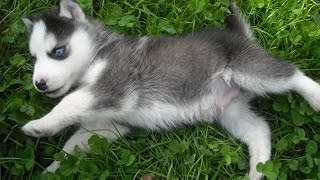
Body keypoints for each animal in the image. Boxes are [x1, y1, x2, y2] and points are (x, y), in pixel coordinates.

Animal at [21, 0, 320, 179]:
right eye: (34, 58)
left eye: (58, 51)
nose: (39, 84)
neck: (99, 51)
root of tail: (240, 36)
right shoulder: (107, 125)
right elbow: (71, 147)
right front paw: (50, 171)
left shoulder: (114, 85)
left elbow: (70, 102)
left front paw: (39, 125)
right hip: (231, 112)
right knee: (260, 130)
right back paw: (258, 171)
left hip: (251, 70)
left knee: (291, 74)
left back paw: (315, 97)